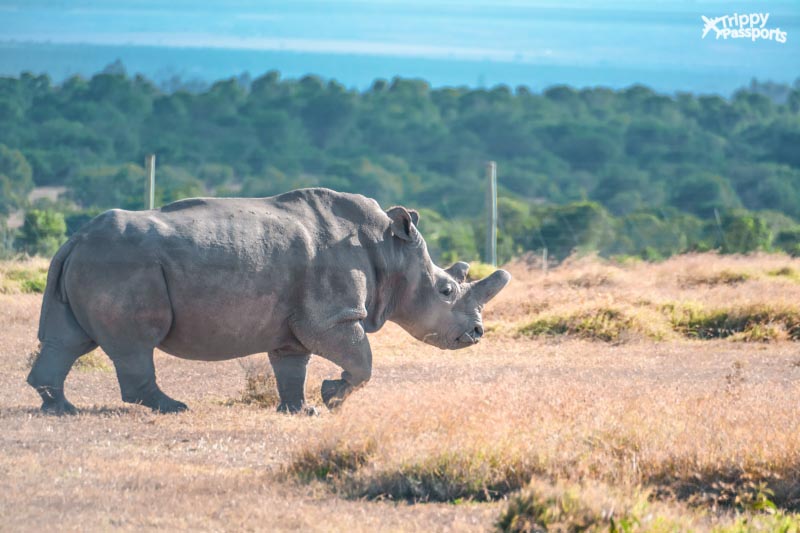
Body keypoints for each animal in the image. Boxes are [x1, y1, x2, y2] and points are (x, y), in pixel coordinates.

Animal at [28, 188, 511, 414]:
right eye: (446, 291)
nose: (477, 333)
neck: (389, 249)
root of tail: (75, 239)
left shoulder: (296, 320)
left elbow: (291, 366)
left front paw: (303, 409)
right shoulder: (333, 316)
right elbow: (362, 361)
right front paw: (332, 398)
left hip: (94, 259)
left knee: (67, 340)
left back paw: (60, 408)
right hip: (122, 263)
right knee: (134, 344)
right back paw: (172, 407)